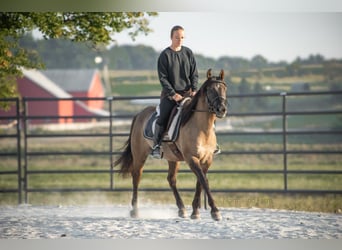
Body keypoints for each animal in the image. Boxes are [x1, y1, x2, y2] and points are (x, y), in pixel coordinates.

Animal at [113, 68, 228, 221]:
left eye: (224, 89)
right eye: (210, 90)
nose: (222, 109)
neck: (201, 128)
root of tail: (139, 115)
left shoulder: (207, 159)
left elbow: (200, 182)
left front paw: (195, 211)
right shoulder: (191, 158)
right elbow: (204, 181)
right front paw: (215, 211)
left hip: (173, 158)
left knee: (171, 179)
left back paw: (182, 209)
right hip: (139, 155)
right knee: (136, 177)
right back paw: (135, 211)